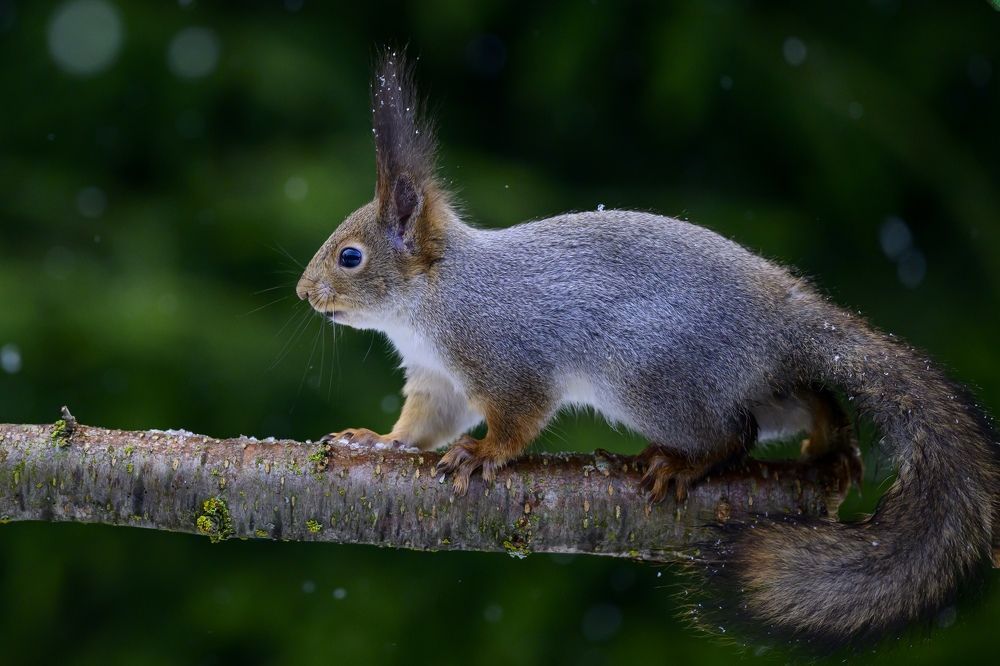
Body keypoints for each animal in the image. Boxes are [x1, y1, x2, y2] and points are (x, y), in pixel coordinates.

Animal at [295, 50, 999, 648]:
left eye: (350, 257)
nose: (304, 292)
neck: (432, 301)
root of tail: (782, 319)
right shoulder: (436, 378)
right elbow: (425, 423)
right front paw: (379, 442)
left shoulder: (505, 352)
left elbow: (517, 415)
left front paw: (483, 455)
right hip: (749, 385)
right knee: (798, 400)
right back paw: (831, 438)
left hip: (647, 380)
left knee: (734, 433)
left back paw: (682, 464)